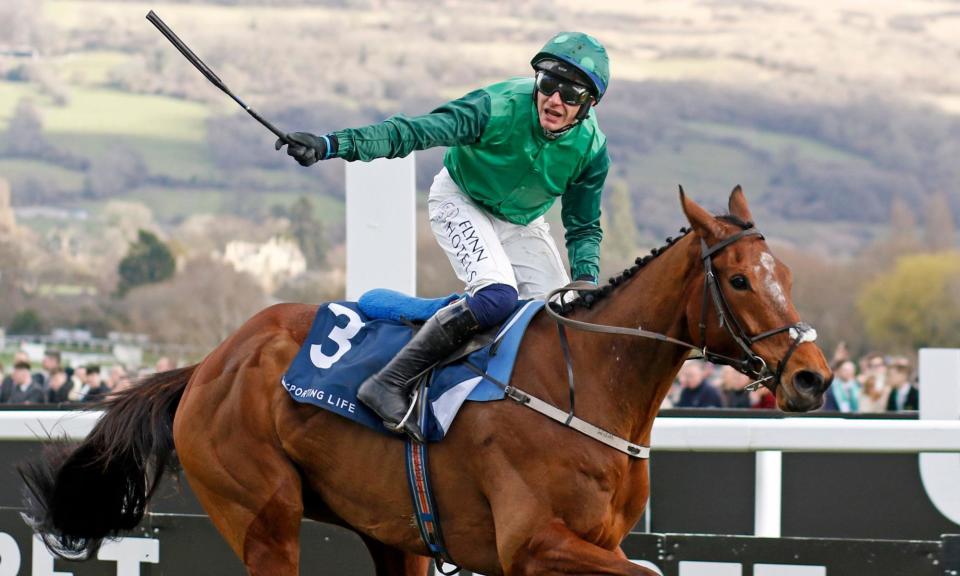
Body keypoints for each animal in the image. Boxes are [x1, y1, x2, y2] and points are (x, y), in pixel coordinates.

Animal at [20, 187, 832, 572]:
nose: (813, 379)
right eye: (738, 278)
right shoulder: (533, 544)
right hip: (261, 514)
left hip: (393, 530)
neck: (589, 389)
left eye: (787, 275)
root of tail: (209, 364)